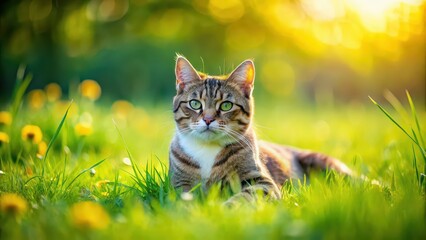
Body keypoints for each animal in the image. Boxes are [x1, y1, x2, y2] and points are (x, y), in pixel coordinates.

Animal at [168, 55, 352, 203]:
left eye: (226, 105)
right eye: (195, 104)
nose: (208, 119)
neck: (207, 149)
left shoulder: (262, 181)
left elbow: (246, 196)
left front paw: (227, 208)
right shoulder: (179, 182)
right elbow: (184, 198)